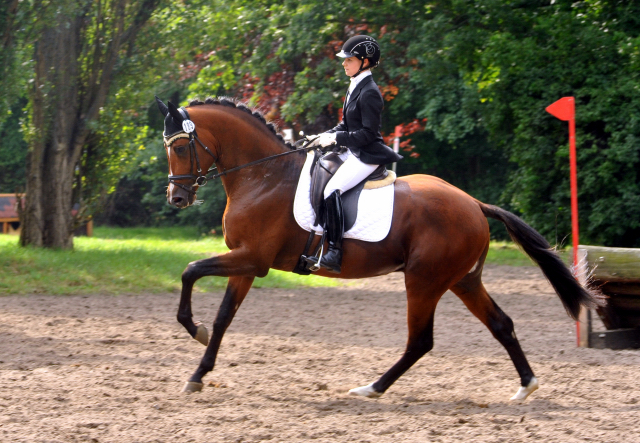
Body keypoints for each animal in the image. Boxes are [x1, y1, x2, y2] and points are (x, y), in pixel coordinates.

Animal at [156, 97, 604, 402]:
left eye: (178, 148)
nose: (176, 199)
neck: (262, 176)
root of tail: (474, 204)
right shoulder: (246, 264)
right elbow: (223, 318)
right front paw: (198, 373)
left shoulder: (253, 259)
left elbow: (190, 270)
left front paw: (193, 330)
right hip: (462, 281)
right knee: (501, 325)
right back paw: (526, 386)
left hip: (424, 281)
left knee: (420, 341)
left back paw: (371, 387)